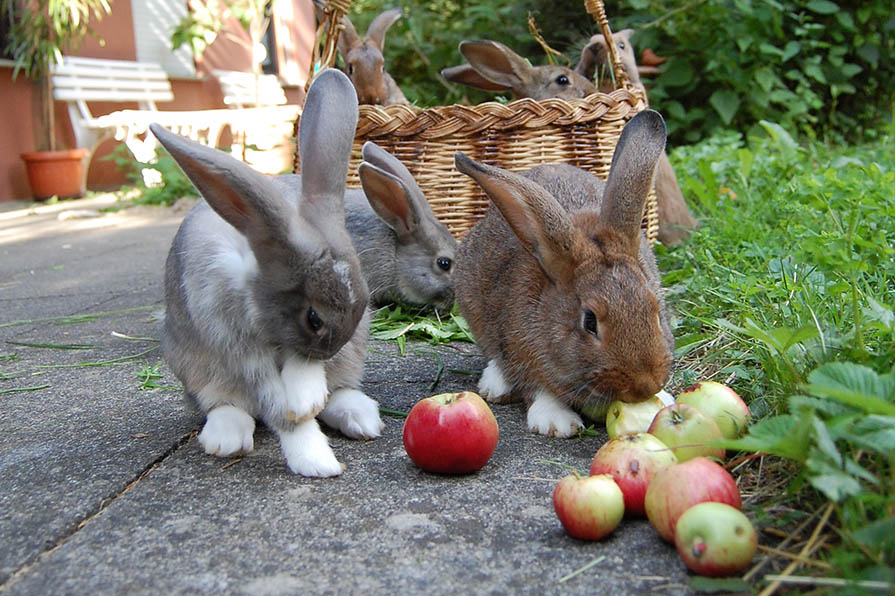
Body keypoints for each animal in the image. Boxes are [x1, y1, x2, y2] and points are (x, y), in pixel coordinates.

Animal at [153, 68, 382, 480]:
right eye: (313, 318)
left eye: (364, 300)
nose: (330, 351)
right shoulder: (237, 343)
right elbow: (278, 405)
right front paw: (316, 460)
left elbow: (301, 374)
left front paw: (308, 400)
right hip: (195, 369)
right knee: (226, 405)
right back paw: (226, 438)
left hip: (351, 359)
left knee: (341, 389)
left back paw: (362, 418)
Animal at [452, 110, 676, 438]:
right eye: (589, 322)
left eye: (656, 311)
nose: (645, 386)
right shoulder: (524, 351)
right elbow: (539, 387)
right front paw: (557, 422)